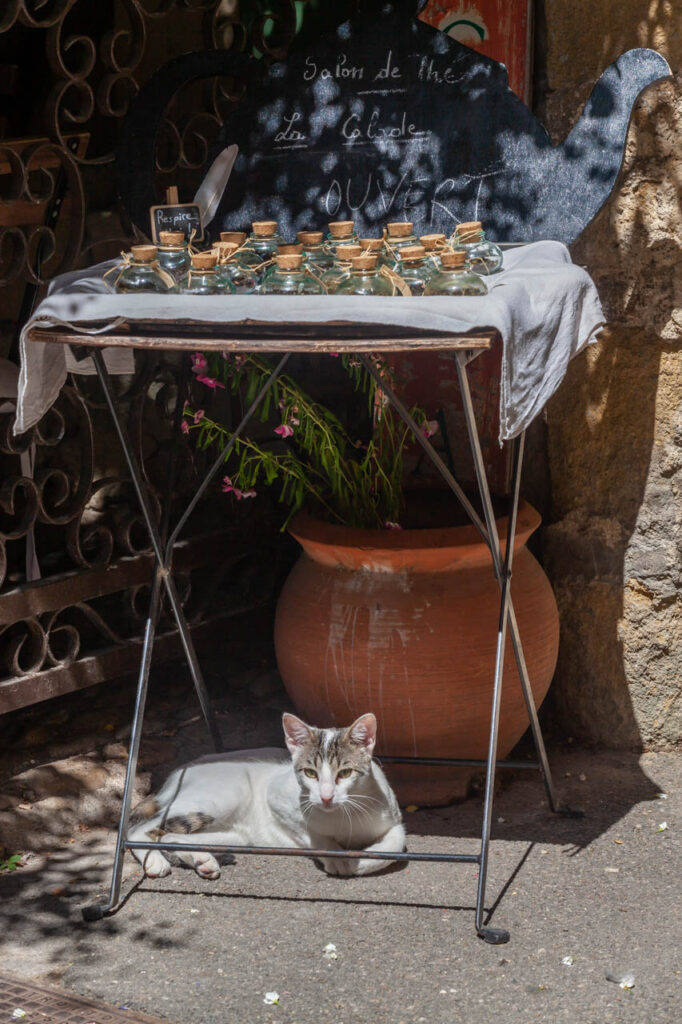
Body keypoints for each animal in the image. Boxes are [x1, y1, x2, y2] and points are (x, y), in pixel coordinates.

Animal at [127, 712, 403, 880]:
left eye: (345, 773)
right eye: (310, 773)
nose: (326, 798)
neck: (344, 818)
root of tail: (178, 772)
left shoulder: (394, 820)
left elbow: (393, 848)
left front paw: (357, 861)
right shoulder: (277, 796)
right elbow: (311, 832)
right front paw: (336, 857)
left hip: (235, 835)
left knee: (169, 835)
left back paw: (202, 860)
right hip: (223, 796)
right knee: (140, 829)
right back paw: (155, 861)